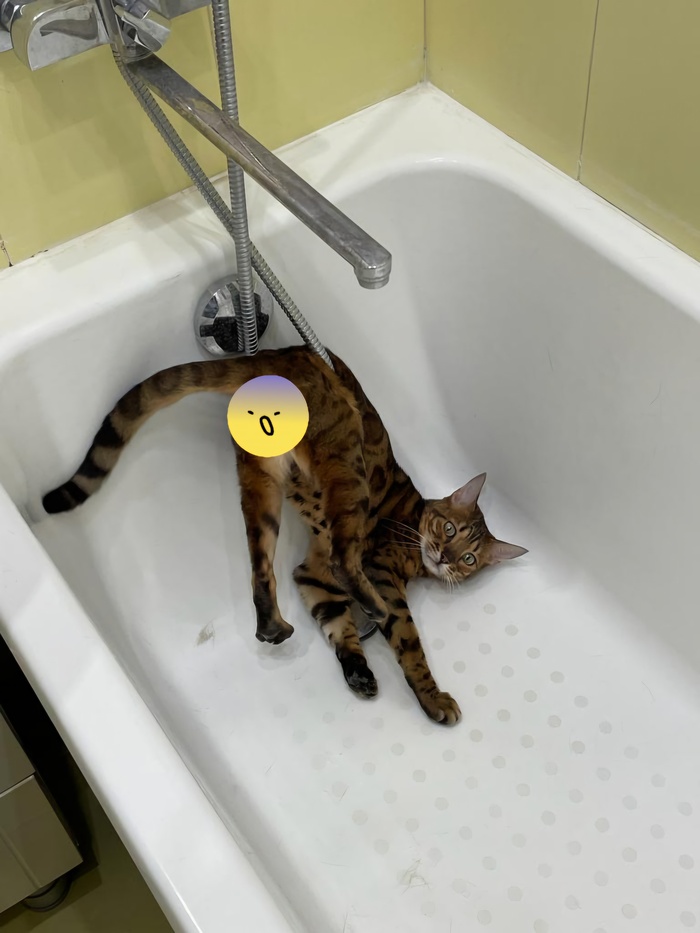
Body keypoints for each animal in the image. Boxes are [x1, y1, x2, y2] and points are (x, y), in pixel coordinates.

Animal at [43, 346, 526, 724]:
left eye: (469, 559)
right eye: (449, 528)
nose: (445, 557)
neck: (412, 527)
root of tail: (275, 355)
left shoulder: (310, 576)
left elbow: (336, 625)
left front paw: (358, 670)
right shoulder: (380, 571)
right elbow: (409, 643)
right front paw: (433, 696)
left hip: (262, 486)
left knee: (261, 570)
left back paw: (271, 624)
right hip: (347, 465)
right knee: (345, 561)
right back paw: (367, 605)